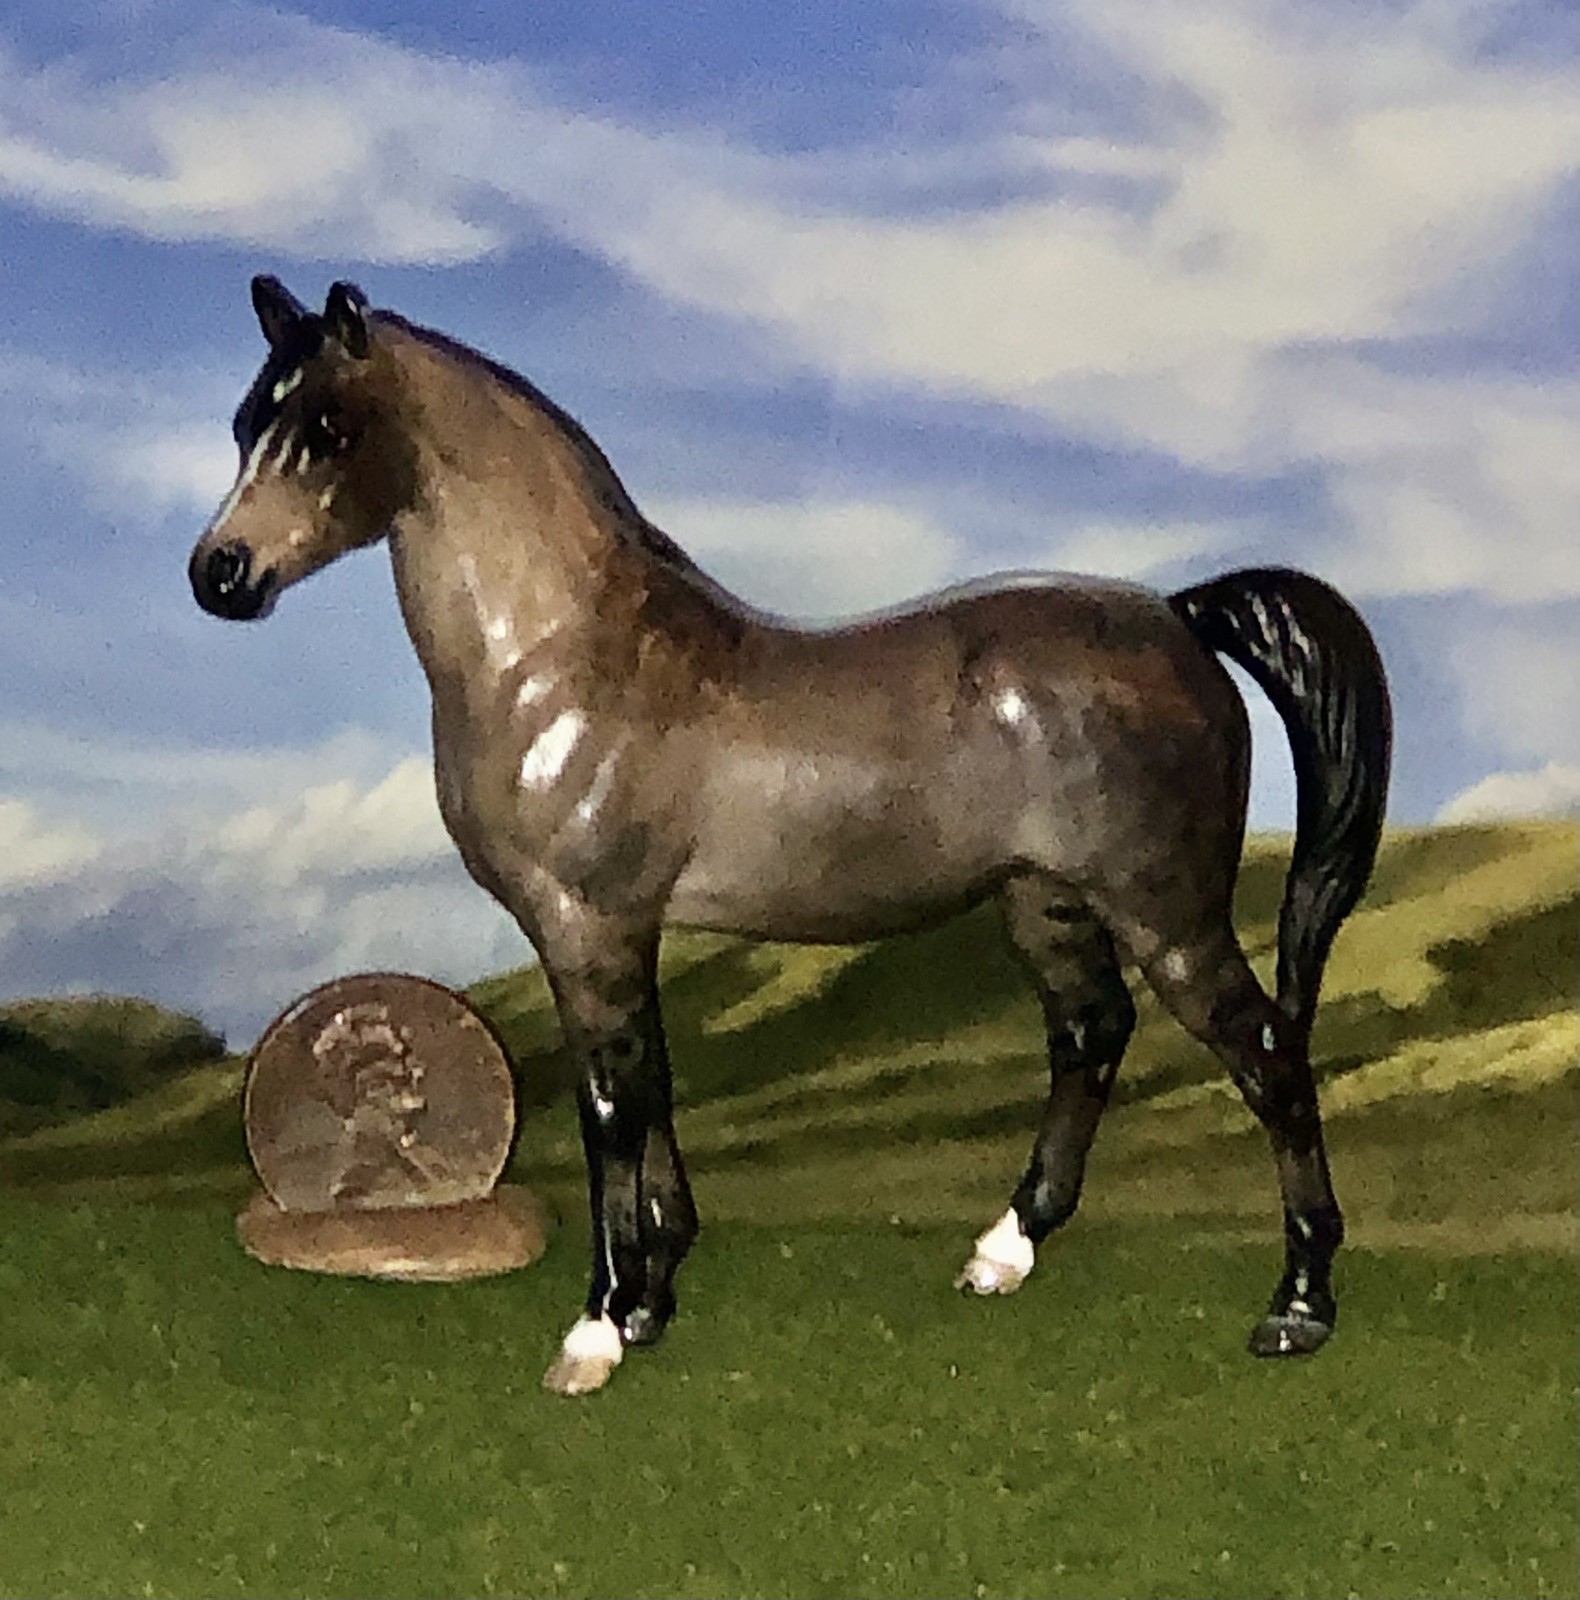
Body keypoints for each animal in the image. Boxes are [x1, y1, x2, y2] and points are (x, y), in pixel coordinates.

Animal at [189, 278, 1391, 1397]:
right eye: (248, 422)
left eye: (330, 429)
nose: (220, 574)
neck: (562, 658)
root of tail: (1182, 616)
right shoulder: (624, 932)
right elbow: (654, 1087)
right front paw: (651, 1301)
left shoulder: (588, 926)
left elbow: (609, 1109)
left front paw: (596, 1331)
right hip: (1043, 899)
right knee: (1091, 1034)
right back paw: (1003, 1250)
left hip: (1165, 910)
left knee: (1269, 1056)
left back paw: (1296, 1307)